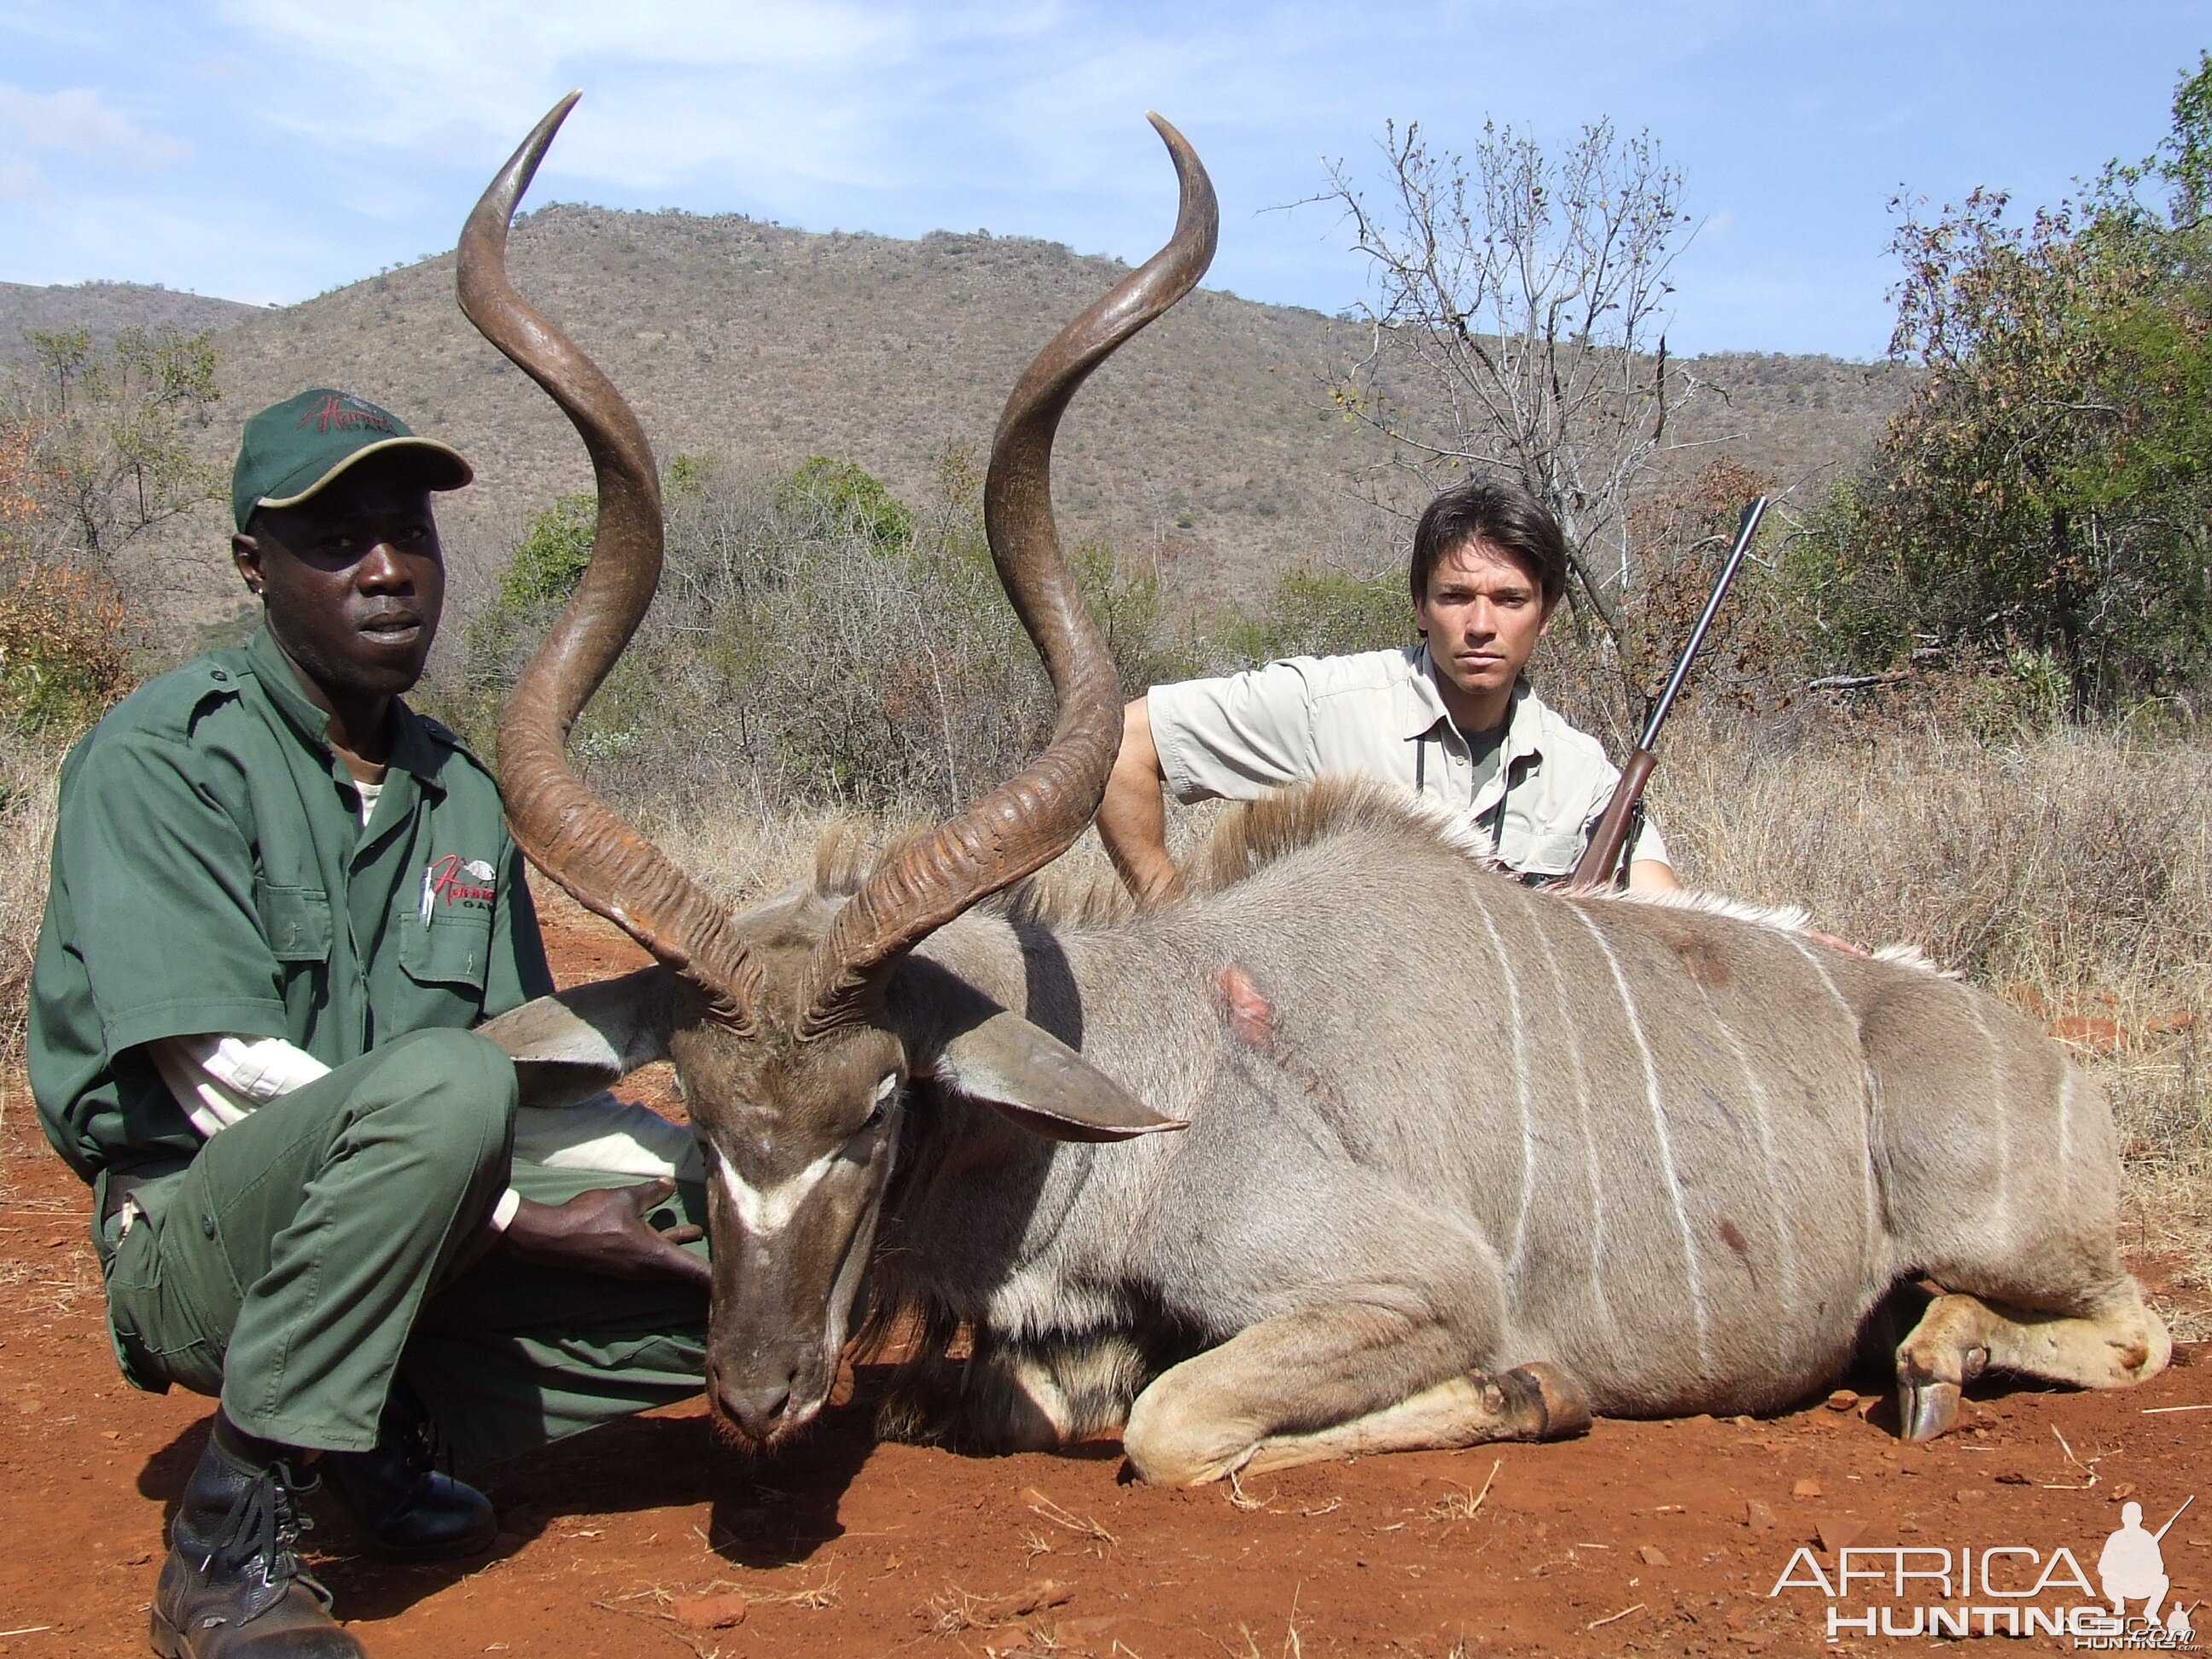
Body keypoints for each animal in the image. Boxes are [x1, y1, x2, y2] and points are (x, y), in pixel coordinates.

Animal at [457, 97, 2168, 1486]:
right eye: (693, 1105)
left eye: (878, 1104)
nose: (755, 1396)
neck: (1174, 1059)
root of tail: (2053, 1064)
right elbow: (1046, 1398)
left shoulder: (1406, 1286)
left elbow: (1176, 1422)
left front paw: (1530, 1390)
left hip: (2010, 1231)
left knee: (2135, 1322)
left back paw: (1935, 1359)